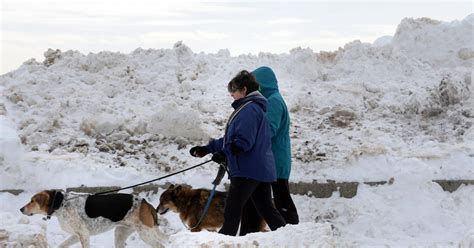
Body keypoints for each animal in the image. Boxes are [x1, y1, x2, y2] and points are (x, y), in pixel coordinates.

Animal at [20, 191, 168, 247]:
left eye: (32, 201)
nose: (21, 209)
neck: (61, 204)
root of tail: (145, 202)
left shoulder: (84, 235)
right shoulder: (77, 235)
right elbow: (61, 245)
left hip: (145, 233)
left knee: (160, 245)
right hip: (120, 233)